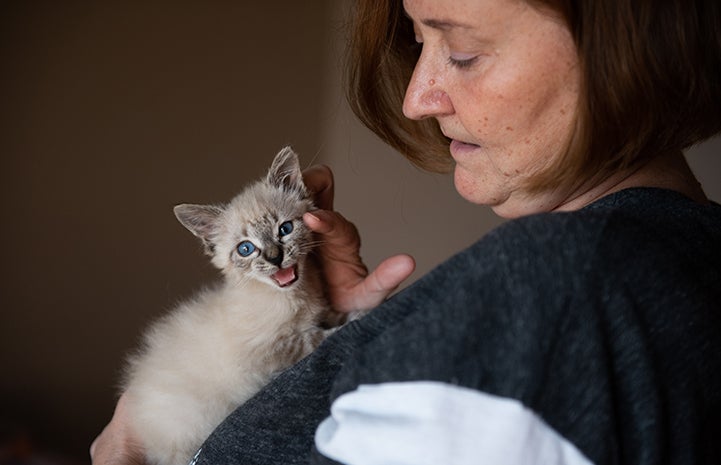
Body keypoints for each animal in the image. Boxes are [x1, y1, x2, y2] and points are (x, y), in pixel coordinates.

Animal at [123, 147, 334, 464]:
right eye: (246, 249)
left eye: (285, 229)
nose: (275, 258)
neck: (295, 295)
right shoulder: (261, 353)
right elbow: (311, 339)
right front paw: (351, 318)